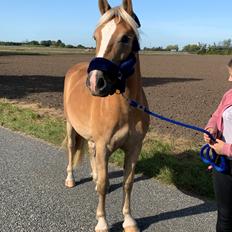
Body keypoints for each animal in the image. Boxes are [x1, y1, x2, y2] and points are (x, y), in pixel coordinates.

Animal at [63, 0, 150, 232]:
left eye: (126, 38)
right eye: (95, 37)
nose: (95, 82)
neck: (125, 108)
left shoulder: (134, 148)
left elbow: (128, 183)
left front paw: (129, 220)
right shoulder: (104, 146)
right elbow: (103, 185)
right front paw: (102, 222)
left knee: (91, 152)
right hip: (70, 126)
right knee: (71, 149)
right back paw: (70, 179)